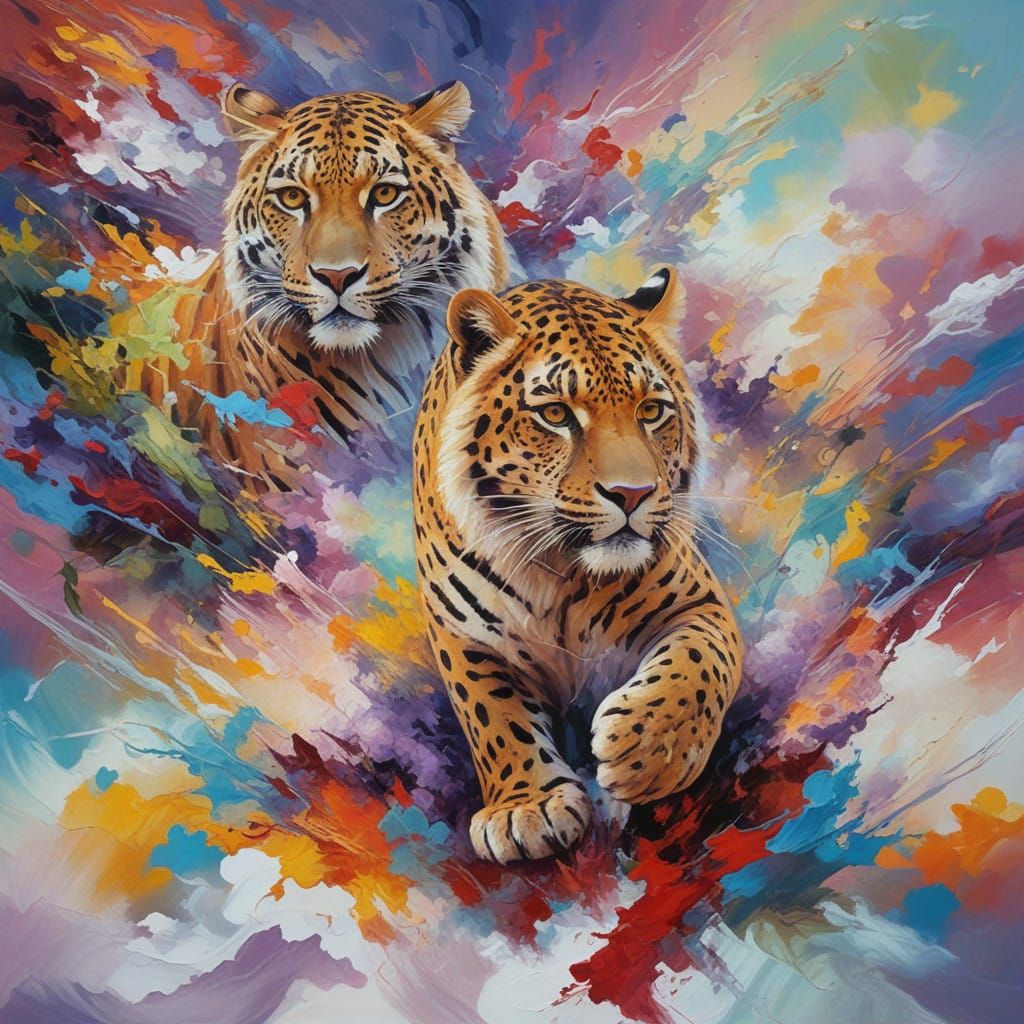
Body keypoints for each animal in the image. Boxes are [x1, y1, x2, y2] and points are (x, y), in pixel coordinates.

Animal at [412, 269, 743, 863]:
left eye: (651, 410)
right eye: (555, 414)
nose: (632, 494)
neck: (558, 572)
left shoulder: (698, 601)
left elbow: (701, 662)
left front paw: (650, 750)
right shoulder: (459, 631)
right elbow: (491, 714)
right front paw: (526, 807)